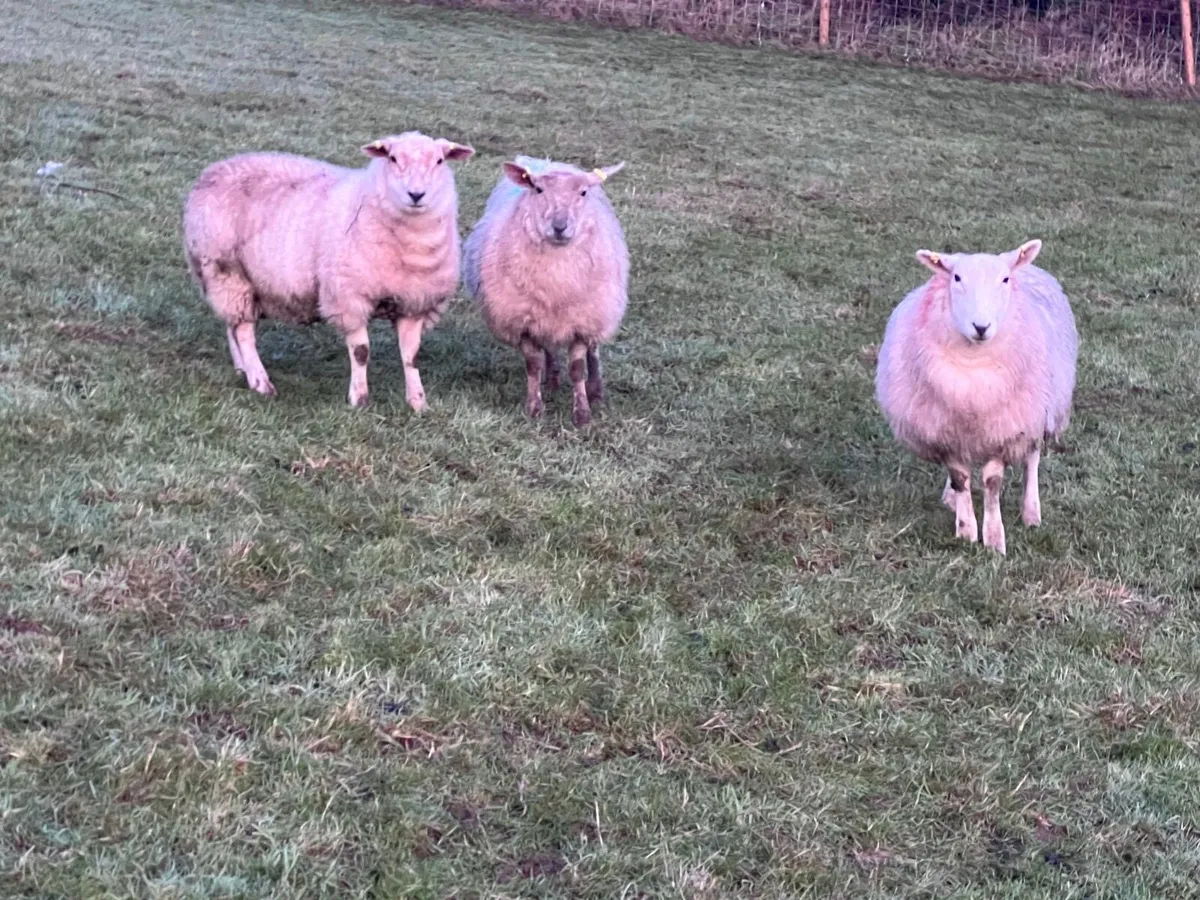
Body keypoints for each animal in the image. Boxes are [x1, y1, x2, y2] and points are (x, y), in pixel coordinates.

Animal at [183, 131, 474, 410]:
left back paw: (242, 369)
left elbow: (411, 356)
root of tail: (216, 168)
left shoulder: (414, 302)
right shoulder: (349, 297)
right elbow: (361, 352)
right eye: (392, 158)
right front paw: (360, 399)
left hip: (236, 281)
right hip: (226, 271)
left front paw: (418, 402)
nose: (416, 195)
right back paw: (260, 381)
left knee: (232, 324)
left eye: (439, 161)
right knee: (243, 332)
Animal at [462, 155, 629, 427]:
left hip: (600, 310)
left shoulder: (581, 322)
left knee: (594, 352)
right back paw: (552, 380)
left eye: (583, 192)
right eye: (538, 189)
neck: (555, 279)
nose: (559, 226)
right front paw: (534, 408)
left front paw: (582, 414)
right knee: (549, 348)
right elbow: (533, 364)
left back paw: (596, 391)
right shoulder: (522, 321)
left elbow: (578, 368)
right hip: (546, 316)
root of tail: (548, 162)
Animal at [874, 239, 1078, 555]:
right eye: (956, 278)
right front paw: (965, 532)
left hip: (1038, 412)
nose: (981, 327)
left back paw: (1031, 513)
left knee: (1031, 460)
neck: (973, 364)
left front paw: (994, 540)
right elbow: (961, 479)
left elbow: (993, 483)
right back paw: (950, 497)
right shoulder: (947, 431)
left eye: (1004, 279)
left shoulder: (1006, 430)